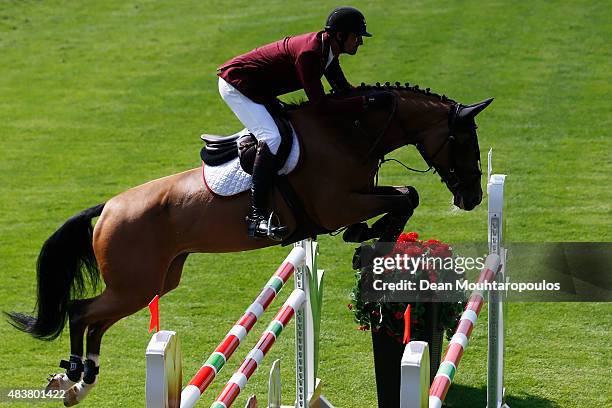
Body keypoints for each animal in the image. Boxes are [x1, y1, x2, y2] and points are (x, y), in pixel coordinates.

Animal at [7, 83, 490, 404]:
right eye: (464, 140)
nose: (472, 197)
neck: (347, 132)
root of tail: (108, 207)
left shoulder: (354, 196)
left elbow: (405, 194)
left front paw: (369, 237)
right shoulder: (337, 204)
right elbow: (405, 196)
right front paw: (368, 239)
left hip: (155, 282)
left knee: (95, 321)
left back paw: (79, 382)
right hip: (136, 287)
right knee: (80, 312)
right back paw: (73, 378)